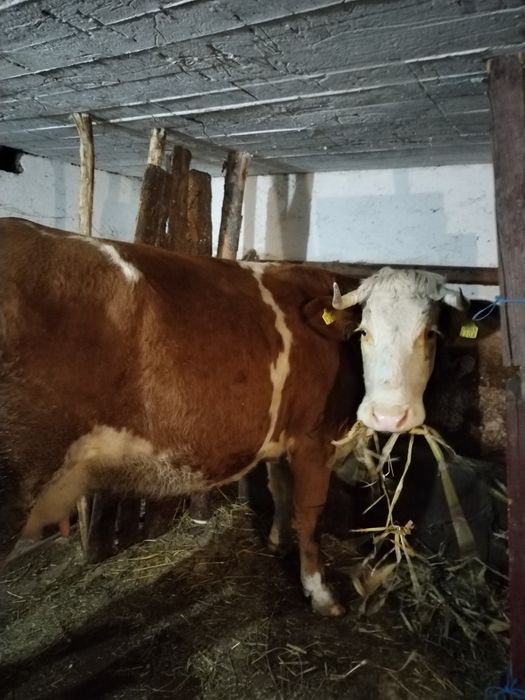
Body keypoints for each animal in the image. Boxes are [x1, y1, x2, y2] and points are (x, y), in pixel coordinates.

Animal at [0, 217, 466, 615]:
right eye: (363, 332)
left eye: (431, 333)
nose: (388, 416)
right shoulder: (313, 440)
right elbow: (309, 514)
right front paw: (320, 592)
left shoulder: (284, 437)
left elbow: (279, 492)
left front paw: (277, 541)